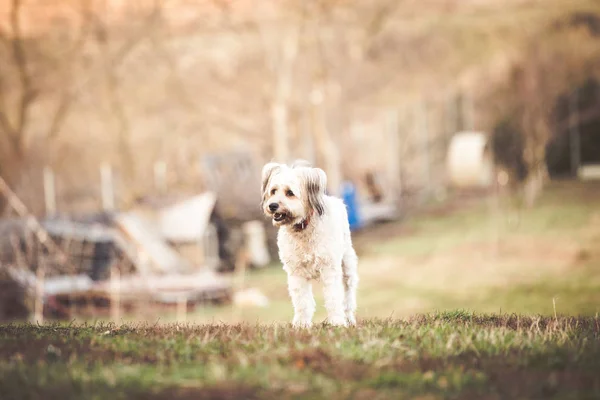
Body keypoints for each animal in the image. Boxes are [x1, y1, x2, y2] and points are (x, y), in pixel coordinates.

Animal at [260, 160, 358, 328]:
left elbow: (333, 299)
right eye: (273, 191)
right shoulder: (296, 273)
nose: (272, 205)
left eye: (289, 193)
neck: (302, 227)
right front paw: (301, 324)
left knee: (348, 296)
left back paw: (349, 319)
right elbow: (302, 302)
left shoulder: (329, 270)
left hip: (348, 267)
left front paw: (337, 322)